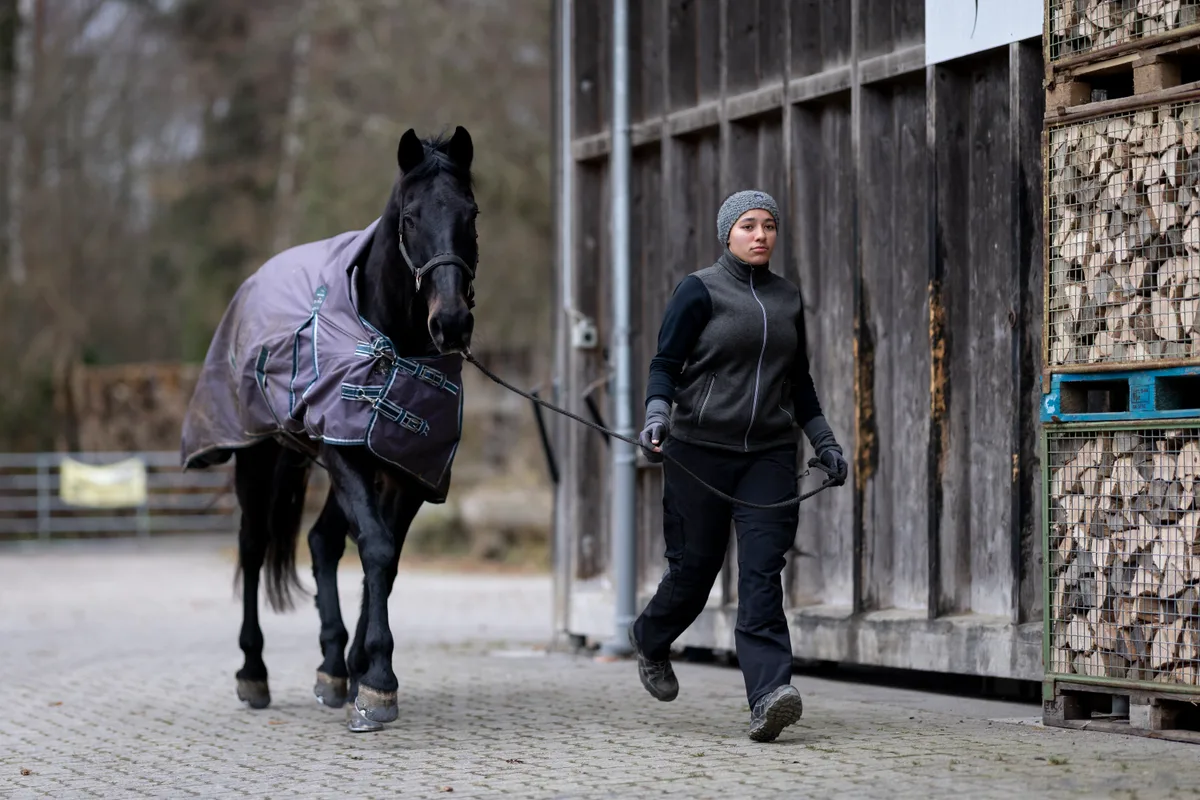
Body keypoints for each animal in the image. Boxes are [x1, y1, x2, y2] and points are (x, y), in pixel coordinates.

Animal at [180, 126, 479, 733]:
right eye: (410, 217)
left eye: (472, 213)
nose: (452, 322)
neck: (390, 345)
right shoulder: (346, 453)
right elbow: (377, 549)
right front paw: (379, 681)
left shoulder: (407, 469)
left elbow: (385, 558)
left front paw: (364, 671)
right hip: (260, 458)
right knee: (253, 547)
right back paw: (254, 672)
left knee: (321, 540)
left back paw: (334, 666)